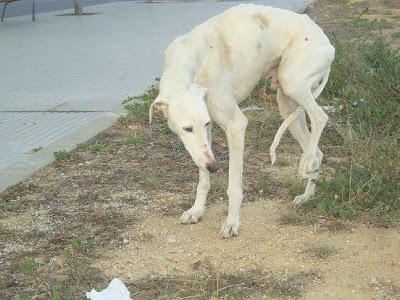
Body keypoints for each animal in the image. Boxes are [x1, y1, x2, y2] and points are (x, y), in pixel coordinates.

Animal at [149, 3, 334, 238]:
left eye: (200, 125)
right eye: (187, 128)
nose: (214, 167)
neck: (189, 57)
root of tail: (326, 40)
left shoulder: (235, 125)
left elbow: (234, 186)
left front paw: (232, 222)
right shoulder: (205, 139)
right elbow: (202, 179)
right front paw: (197, 210)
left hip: (291, 82)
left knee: (320, 117)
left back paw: (305, 163)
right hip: (287, 104)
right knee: (318, 152)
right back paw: (307, 195)